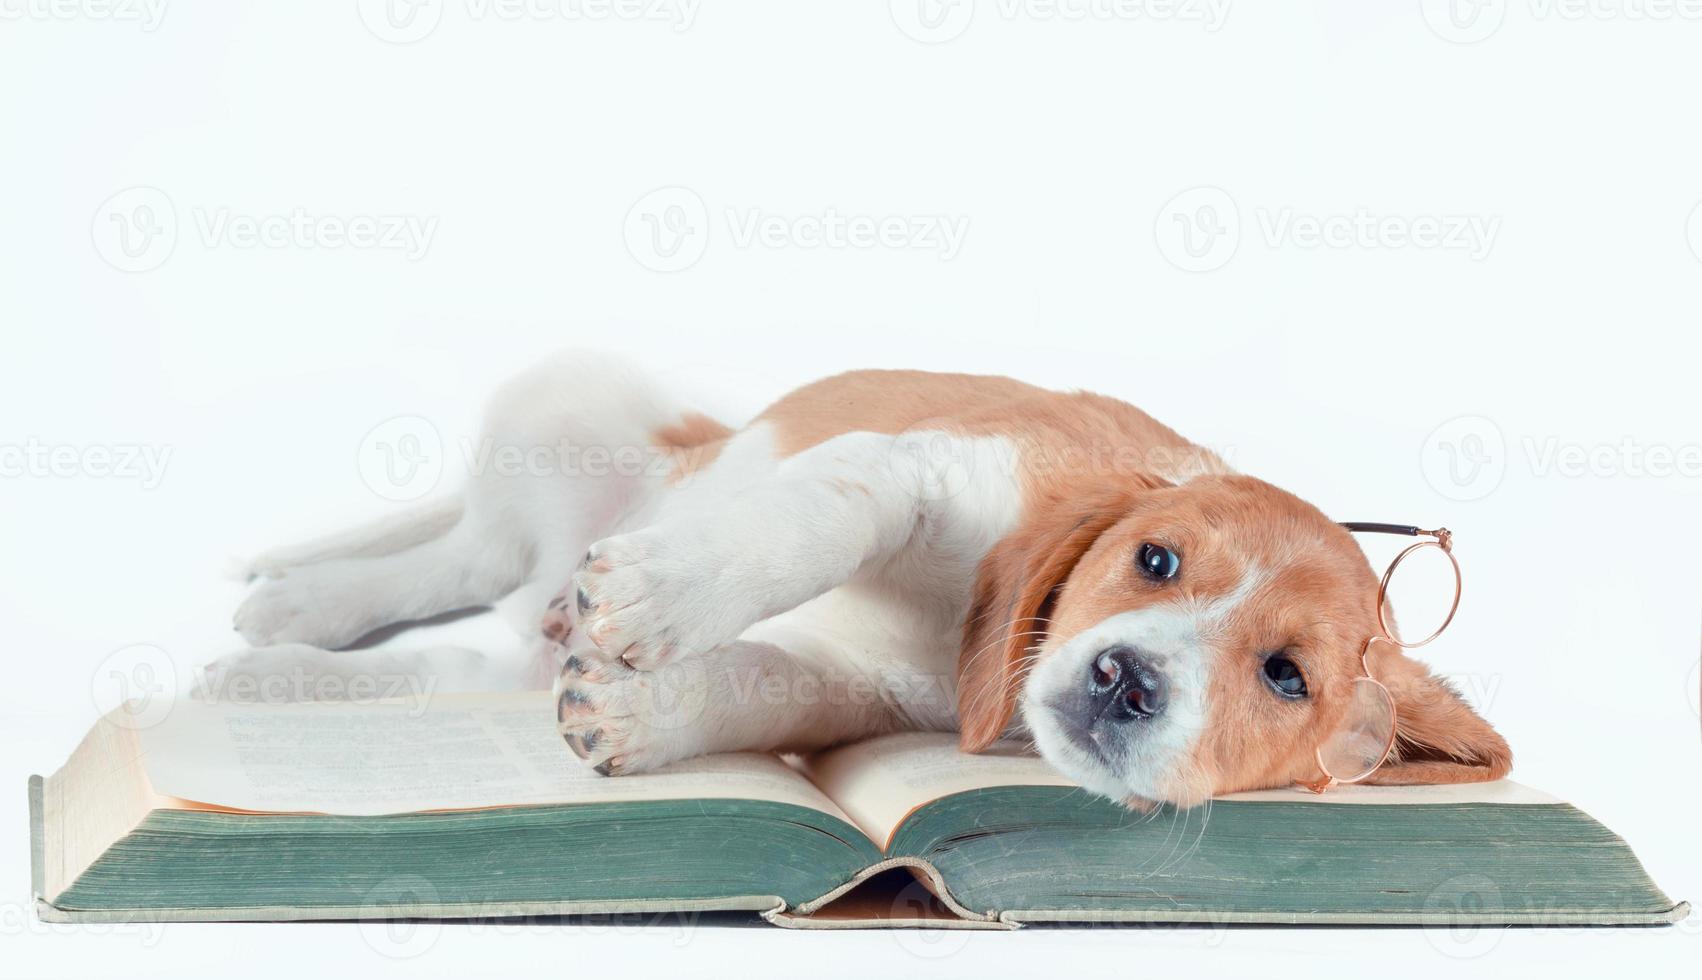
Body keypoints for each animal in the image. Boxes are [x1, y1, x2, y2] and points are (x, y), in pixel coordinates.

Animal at [219, 355, 1511, 806]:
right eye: (1154, 560)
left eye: (1285, 675)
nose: (1125, 680)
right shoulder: (906, 468)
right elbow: (813, 525)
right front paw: (657, 598)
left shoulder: (861, 693)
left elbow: (757, 687)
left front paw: (634, 710)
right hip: (579, 405)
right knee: (459, 555)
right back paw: (293, 599)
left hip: (490, 653)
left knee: (448, 650)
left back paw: (268, 669)